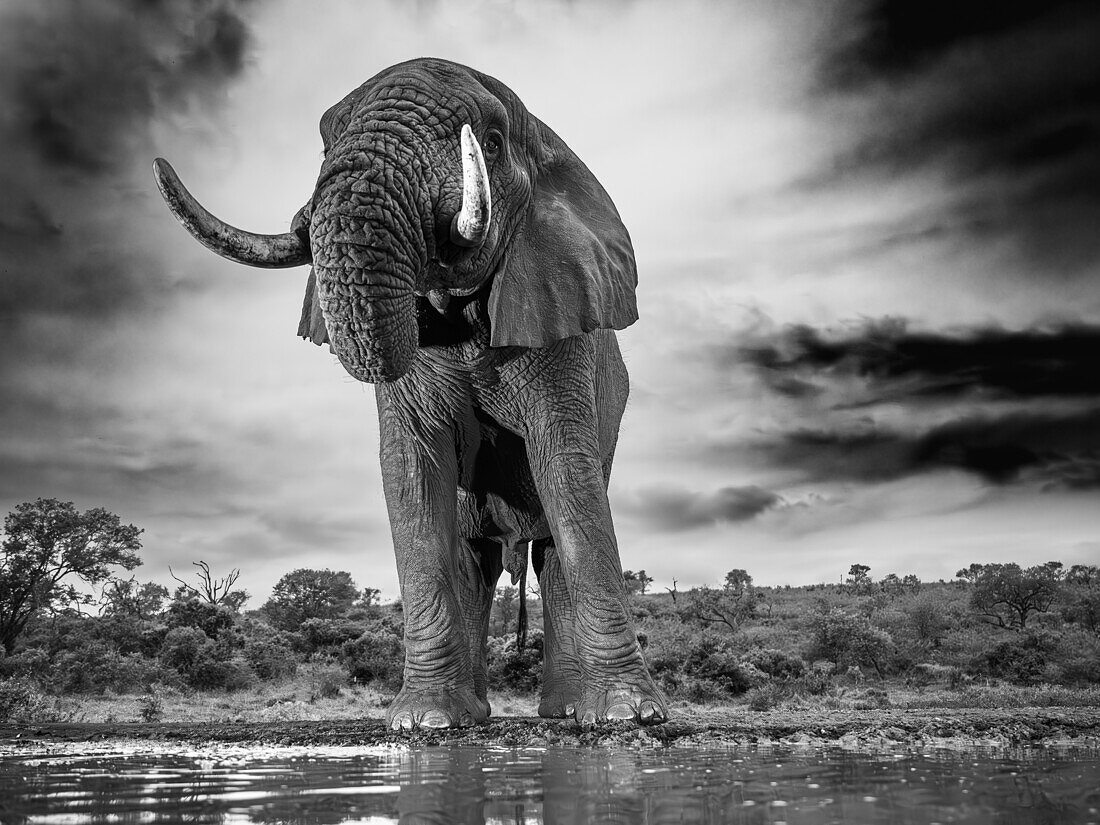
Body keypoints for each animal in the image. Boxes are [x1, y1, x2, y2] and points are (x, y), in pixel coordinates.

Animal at [152, 58, 668, 730]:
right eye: (324, 140)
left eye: (491, 142)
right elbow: (412, 471)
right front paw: (421, 723)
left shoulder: (562, 316)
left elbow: (566, 467)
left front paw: (631, 716)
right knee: (471, 557)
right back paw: (474, 713)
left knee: (551, 551)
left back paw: (560, 713)